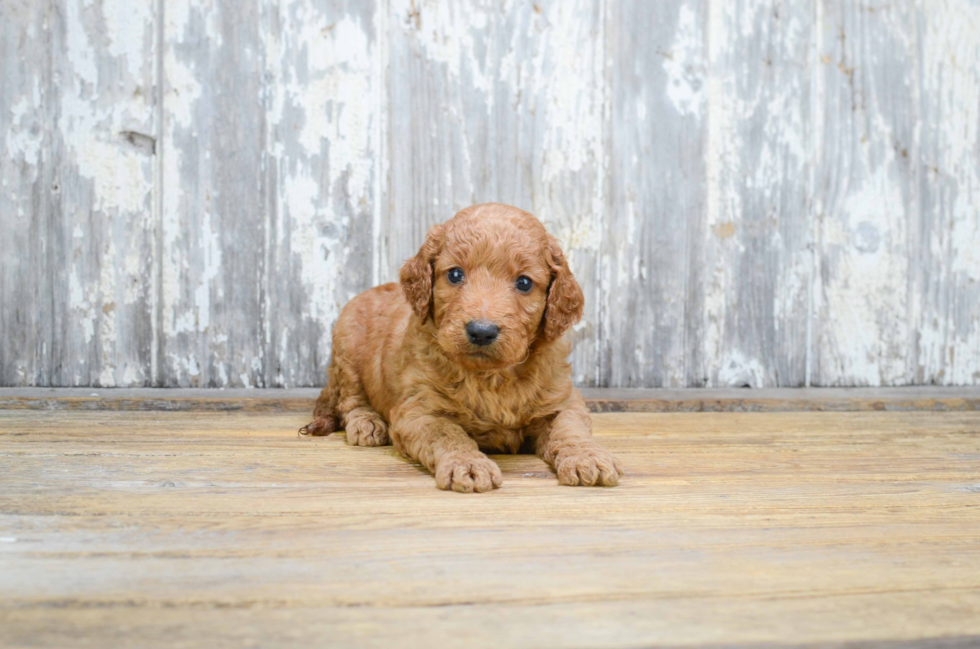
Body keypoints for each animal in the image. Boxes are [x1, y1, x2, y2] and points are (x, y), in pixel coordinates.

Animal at [300, 202, 620, 492]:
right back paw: (366, 423)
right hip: (346, 346)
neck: (491, 377)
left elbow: (570, 428)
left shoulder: (562, 401)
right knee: (349, 397)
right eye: (455, 274)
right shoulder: (418, 411)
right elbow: (448, 433)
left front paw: (587, 457)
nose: (481, 331)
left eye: (525, 282)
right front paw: (468, 464)